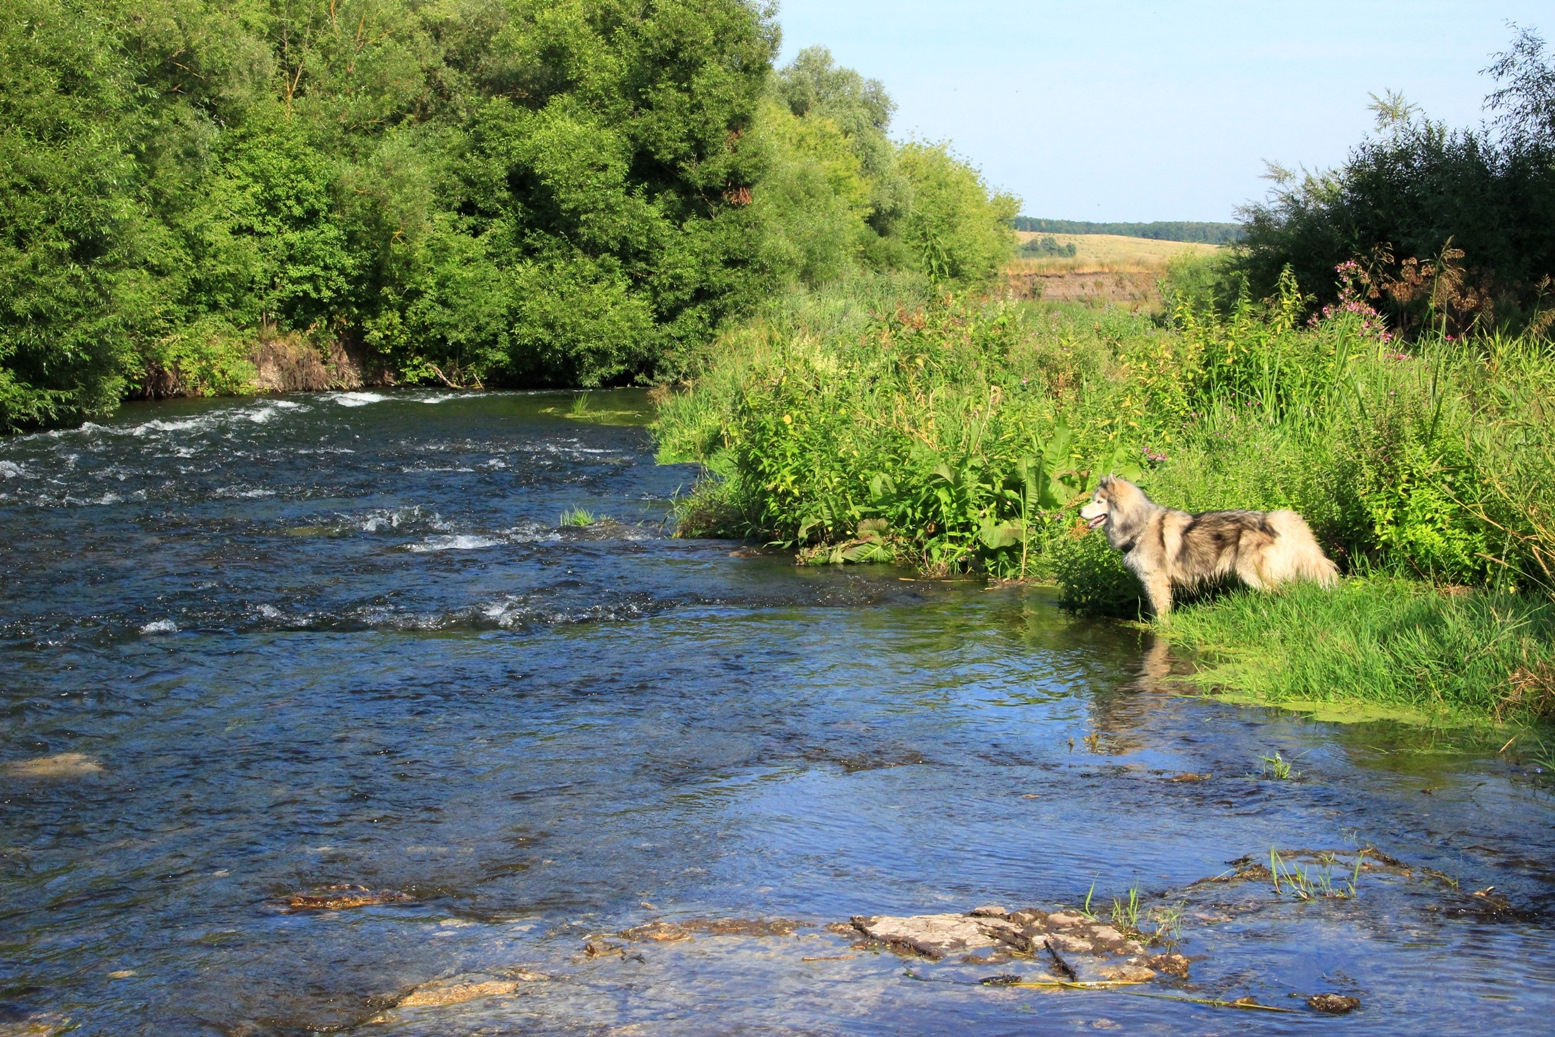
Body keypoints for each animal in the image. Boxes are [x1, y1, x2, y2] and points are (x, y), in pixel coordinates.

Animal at [1076, 475, 1343, 615]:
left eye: (1098, 502)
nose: (1078, 511)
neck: (1139, 526)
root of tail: (1271, 519)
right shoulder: (1151, 583)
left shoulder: (1156, 581)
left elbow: (1161, 614)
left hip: (1254, 575)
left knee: (1284, 593)